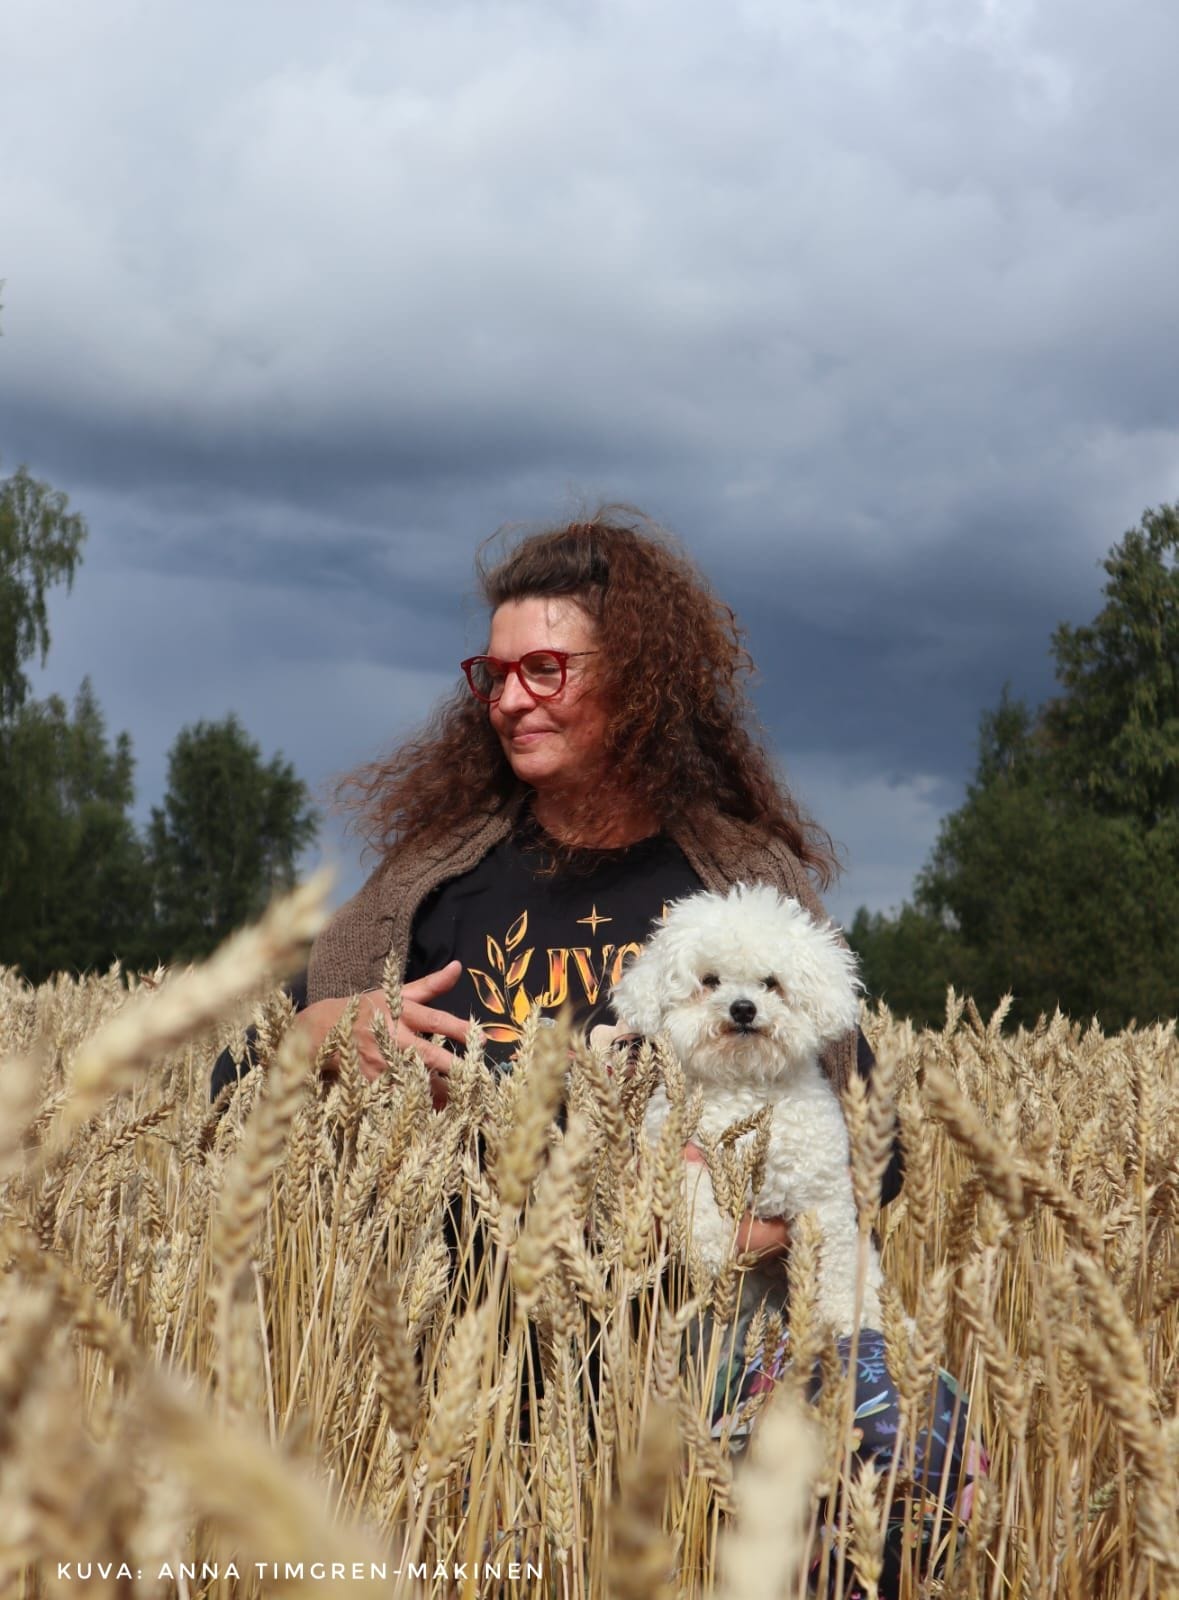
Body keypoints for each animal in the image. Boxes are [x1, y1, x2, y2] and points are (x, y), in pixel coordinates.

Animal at [610, 882, 883, 1334]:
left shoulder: (825, 1194)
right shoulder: (673, 1153)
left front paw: (847, 1316)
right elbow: (694, 1196)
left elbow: (838, 1265)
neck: (744, 1086)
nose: (742, 1008)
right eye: (709, 980)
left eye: (771, 983)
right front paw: (712, 1248)